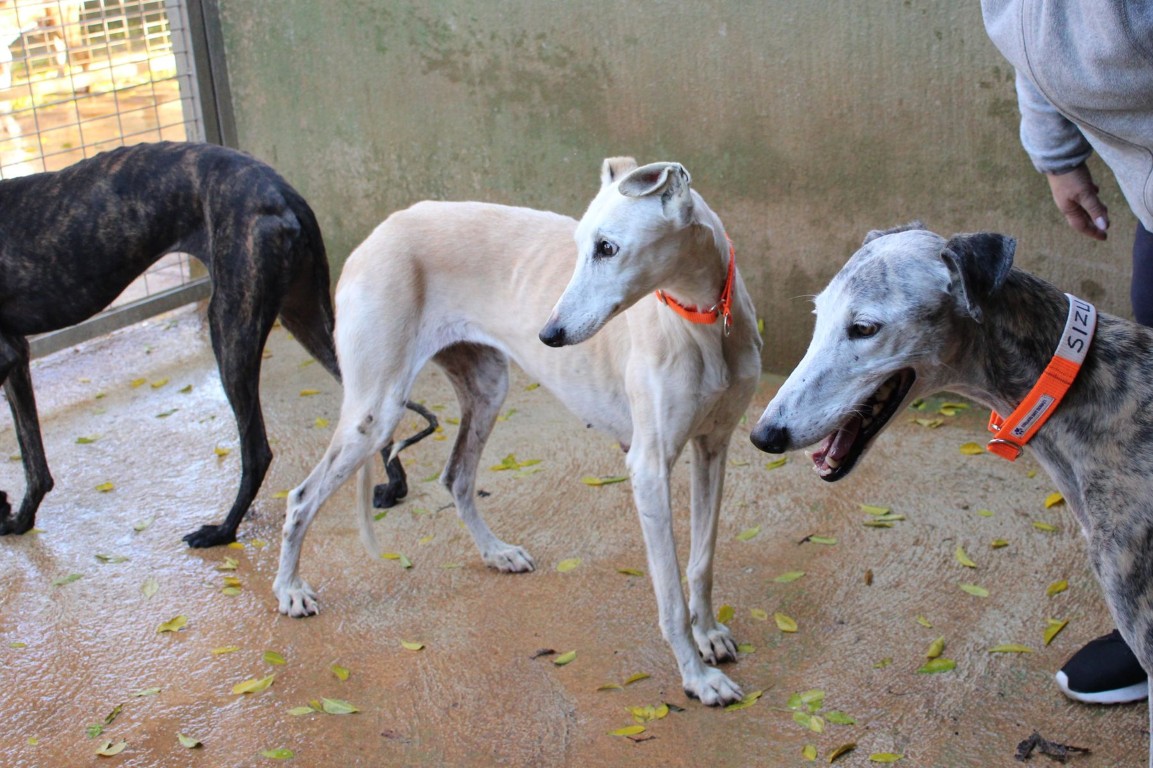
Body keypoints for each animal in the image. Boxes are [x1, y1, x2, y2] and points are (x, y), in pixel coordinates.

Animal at [0, 141, 436, 548]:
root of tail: (281, 191)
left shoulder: (5, 358)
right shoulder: (17, 356)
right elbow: (32, 456)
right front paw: (20, 518)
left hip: (229, 326)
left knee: (257, 450)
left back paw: (225, 529)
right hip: (303, 316)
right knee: (368, 412)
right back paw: (394, 485)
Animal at [273, 157, 763, 706]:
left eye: (607, 247)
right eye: (581, 245)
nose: (549, 335)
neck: (699, 318)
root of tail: (377, 232)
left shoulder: (713, 448)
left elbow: (701, 563)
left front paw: (709, 634)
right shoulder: (649, 468)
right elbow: (670, 594)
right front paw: (697, 678)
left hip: (486, 388)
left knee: (457, 477)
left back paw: (496, 553)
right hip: (375, 413)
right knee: (301, 496)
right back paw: (290, 590)